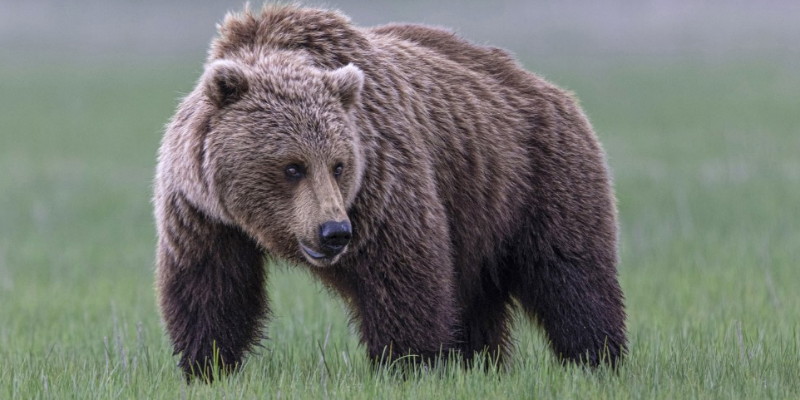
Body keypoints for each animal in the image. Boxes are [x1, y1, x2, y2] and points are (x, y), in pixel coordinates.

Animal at [154, 4, 627, 379]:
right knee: (477, 295)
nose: (334, 232)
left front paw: (409, 362)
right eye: (292, 166)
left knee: (570, 273)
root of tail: (548, 87)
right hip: (478, 213)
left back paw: (596, 357)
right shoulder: (202, 213)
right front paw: (206, 365)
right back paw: (479, 361)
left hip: (536, 175)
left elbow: (403, 271)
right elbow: (211, 288)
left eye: (339, 165)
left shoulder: (381, 181)